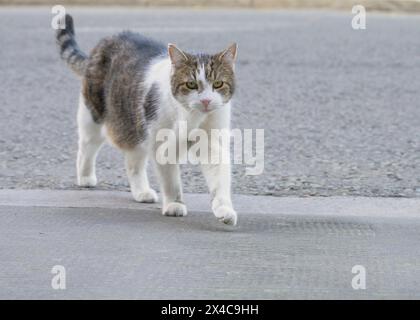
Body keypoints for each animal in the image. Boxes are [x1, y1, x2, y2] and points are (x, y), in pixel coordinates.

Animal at [56, 14, 238, 225]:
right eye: (191, 84)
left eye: (218, 84)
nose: (206, 100)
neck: (190, 117)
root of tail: (109, 39)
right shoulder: (162, 146)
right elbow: (171, 182)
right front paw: (174, 204)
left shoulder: (212, 145)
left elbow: (219, 180)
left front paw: (224, 209)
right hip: (94, 116)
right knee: (86, 147)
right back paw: (85, 177)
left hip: (136, 129)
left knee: (133, 163)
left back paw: (141, 192)